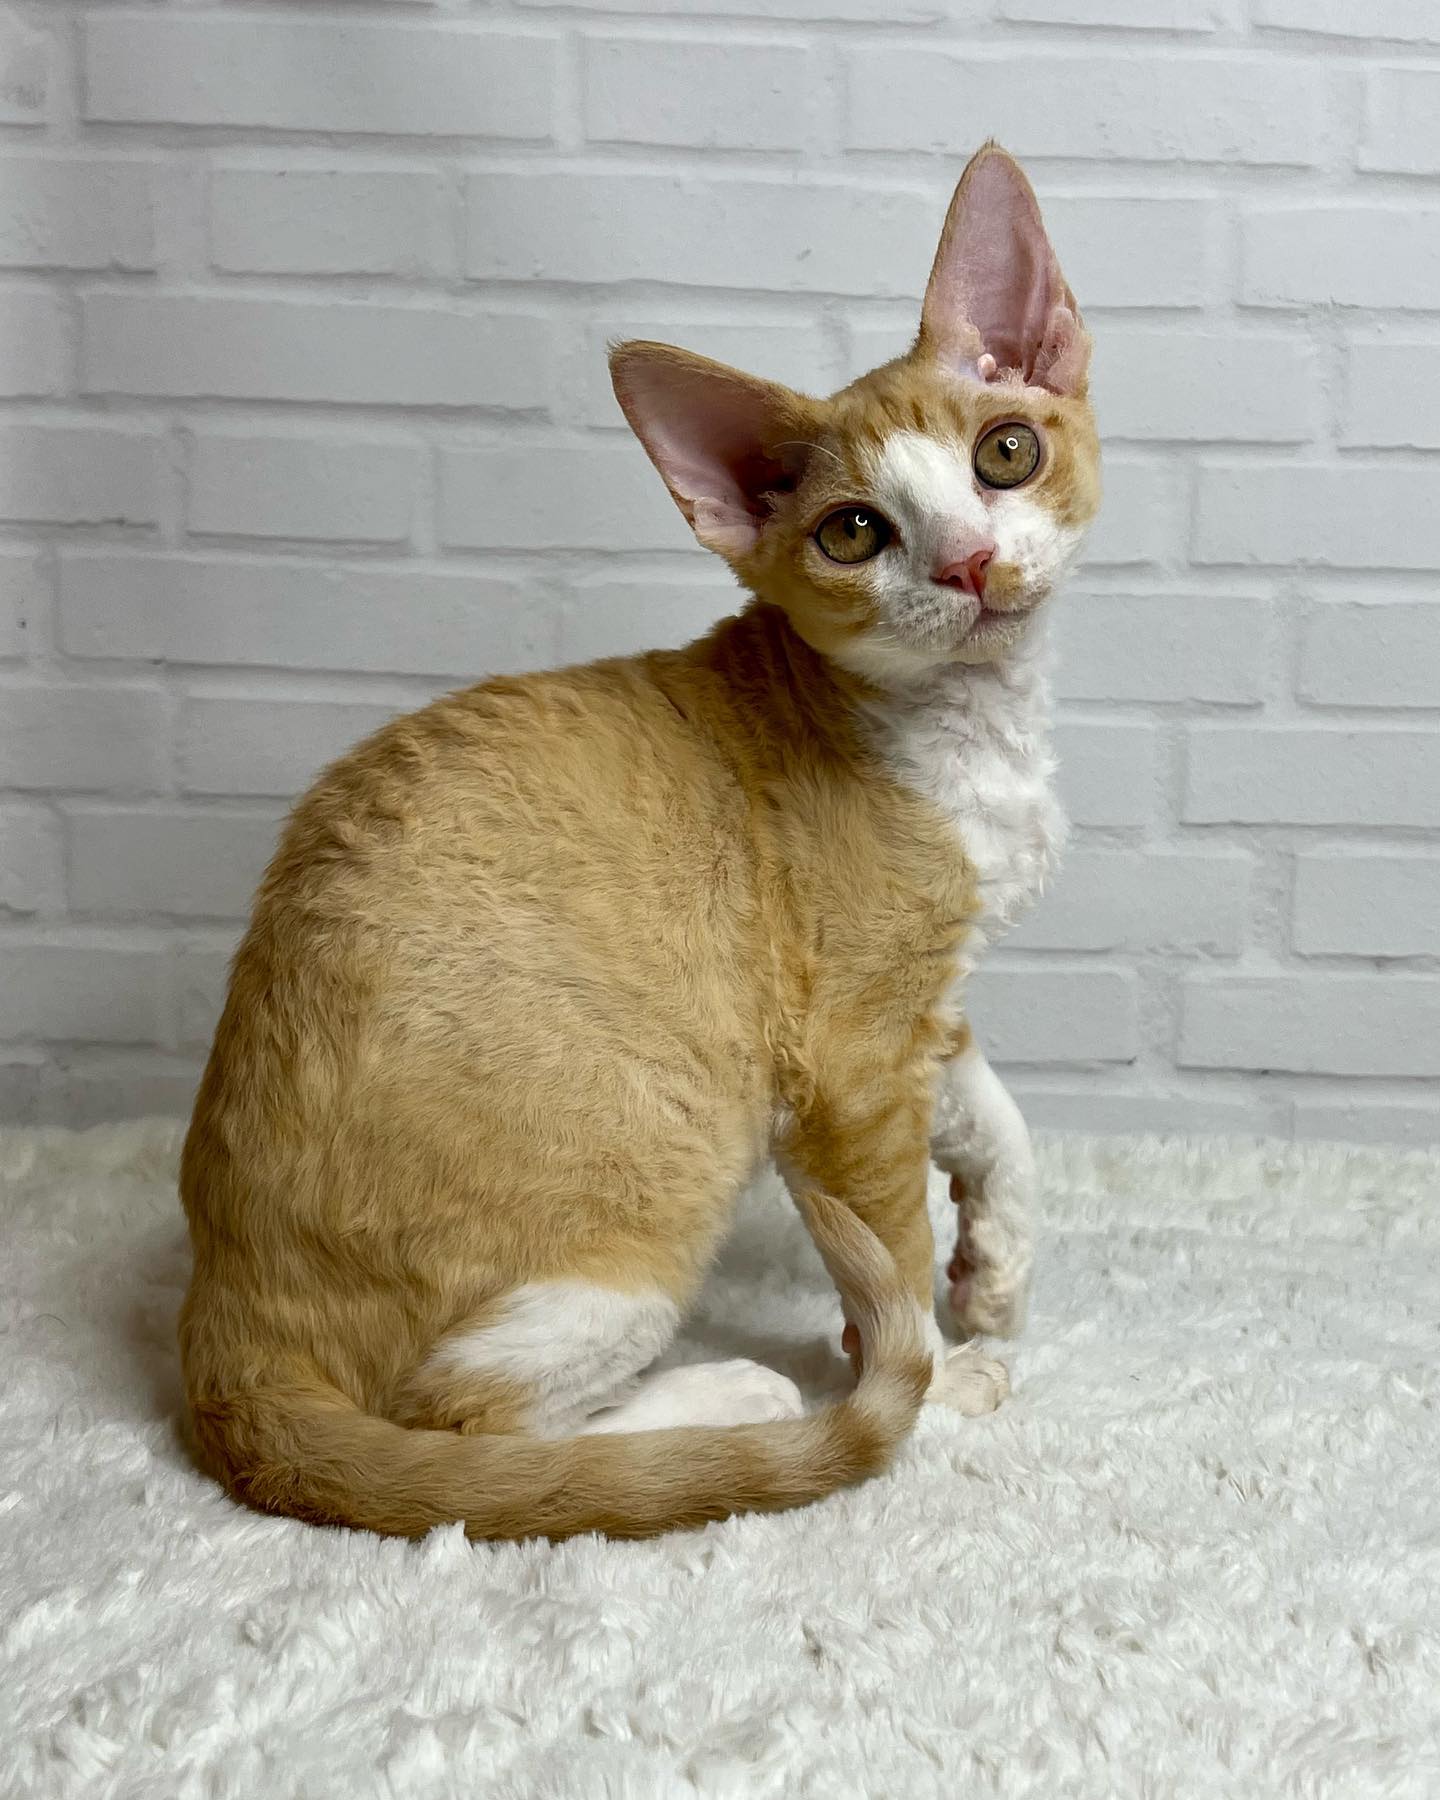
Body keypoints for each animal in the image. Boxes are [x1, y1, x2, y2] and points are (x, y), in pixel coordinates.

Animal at [178, 142, 1100, 1542]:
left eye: (1007, 452)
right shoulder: (843, 1056)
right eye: (854, 532)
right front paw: (932, 1379)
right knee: (478, 1433)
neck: (973, 736)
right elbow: (886, 1243)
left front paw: (997, 1266)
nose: (971, 563)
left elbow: (998, 1117)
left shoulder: (918, 1002)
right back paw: (727, 1402)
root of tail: (221, 1331)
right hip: (661, 1158)